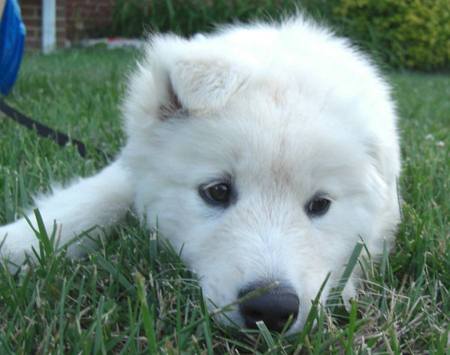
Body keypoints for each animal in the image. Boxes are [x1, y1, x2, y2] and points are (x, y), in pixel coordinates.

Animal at [0, 16, 400, 334]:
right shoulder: (131, 166)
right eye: (217, 192)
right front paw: (19, 244)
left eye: (320, 205)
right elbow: (94, 197)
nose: (271, 309)